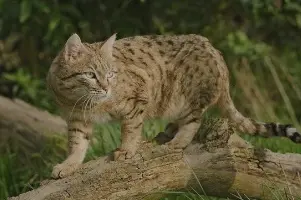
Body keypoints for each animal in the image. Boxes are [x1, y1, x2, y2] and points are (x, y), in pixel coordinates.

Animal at [47, 32, 300, 178]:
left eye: (110, 74)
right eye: (90, 74)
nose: (107, 88)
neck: (82, 101)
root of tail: (217, 53)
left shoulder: (138, 98)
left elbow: (131, 128)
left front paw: (127, 149)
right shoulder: (76, 118)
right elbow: (77, 143)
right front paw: (69, 165)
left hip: (189, 95)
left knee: (194, 121)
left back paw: (177, 141)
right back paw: (168, 131)